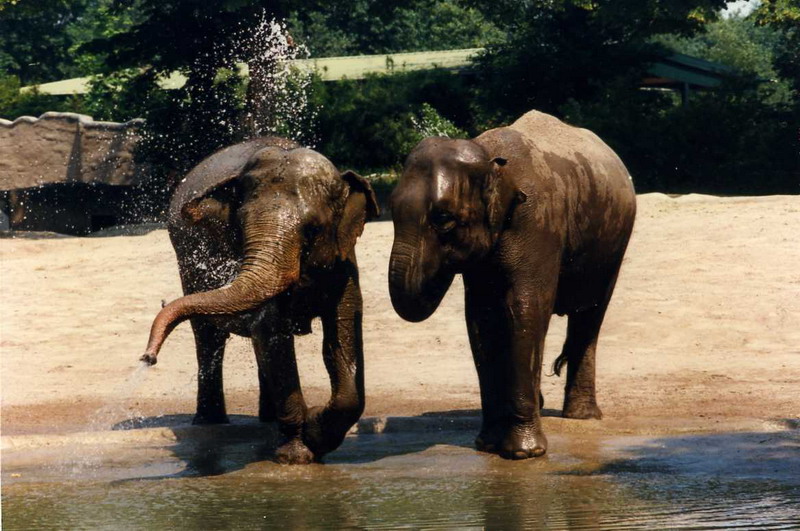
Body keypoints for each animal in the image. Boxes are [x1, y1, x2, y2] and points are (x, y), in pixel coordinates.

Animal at [139, 136, 380, 464]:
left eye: (313, 230)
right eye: (239, 226)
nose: (147, 357)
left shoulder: (344, 260)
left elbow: (340, 335)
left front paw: (314, 436)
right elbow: (272, 335)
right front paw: (296, 455)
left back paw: (267, 419)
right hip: (184, 259)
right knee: (209, 338)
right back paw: (211, 422)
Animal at [388, 110, 636, 460]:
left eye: (444, 219)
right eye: (390, 209)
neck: (489, 157)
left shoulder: (536, 220)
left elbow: (523, 309)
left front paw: (523, 454)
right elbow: (481, 319)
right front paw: (487, 445)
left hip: (614, 244)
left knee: (590, 315)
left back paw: (582, 416)